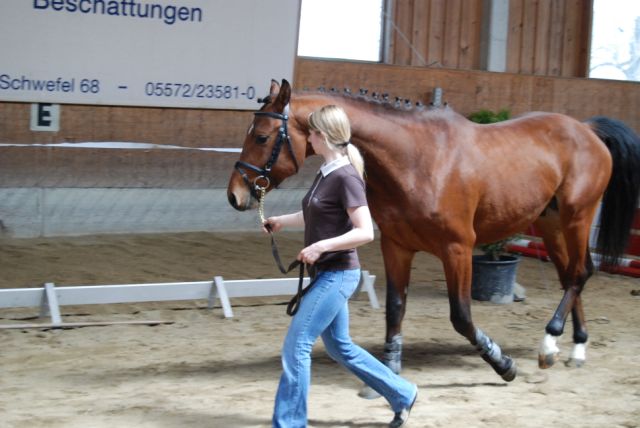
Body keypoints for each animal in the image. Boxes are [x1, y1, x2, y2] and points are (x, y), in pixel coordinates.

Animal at [227, 78, 640, 383]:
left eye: (262, 136)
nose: (235, 195)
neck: (417, 159)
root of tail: (586, 129)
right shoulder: (397, 247)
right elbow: (395, 309)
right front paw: (389, 371)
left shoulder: (458, 249)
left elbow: (461, 316)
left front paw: (502, 364)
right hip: (551, 225)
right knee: (572, 275)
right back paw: (572, 349)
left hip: (576, 218)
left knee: (581, 272)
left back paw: (552, 342)